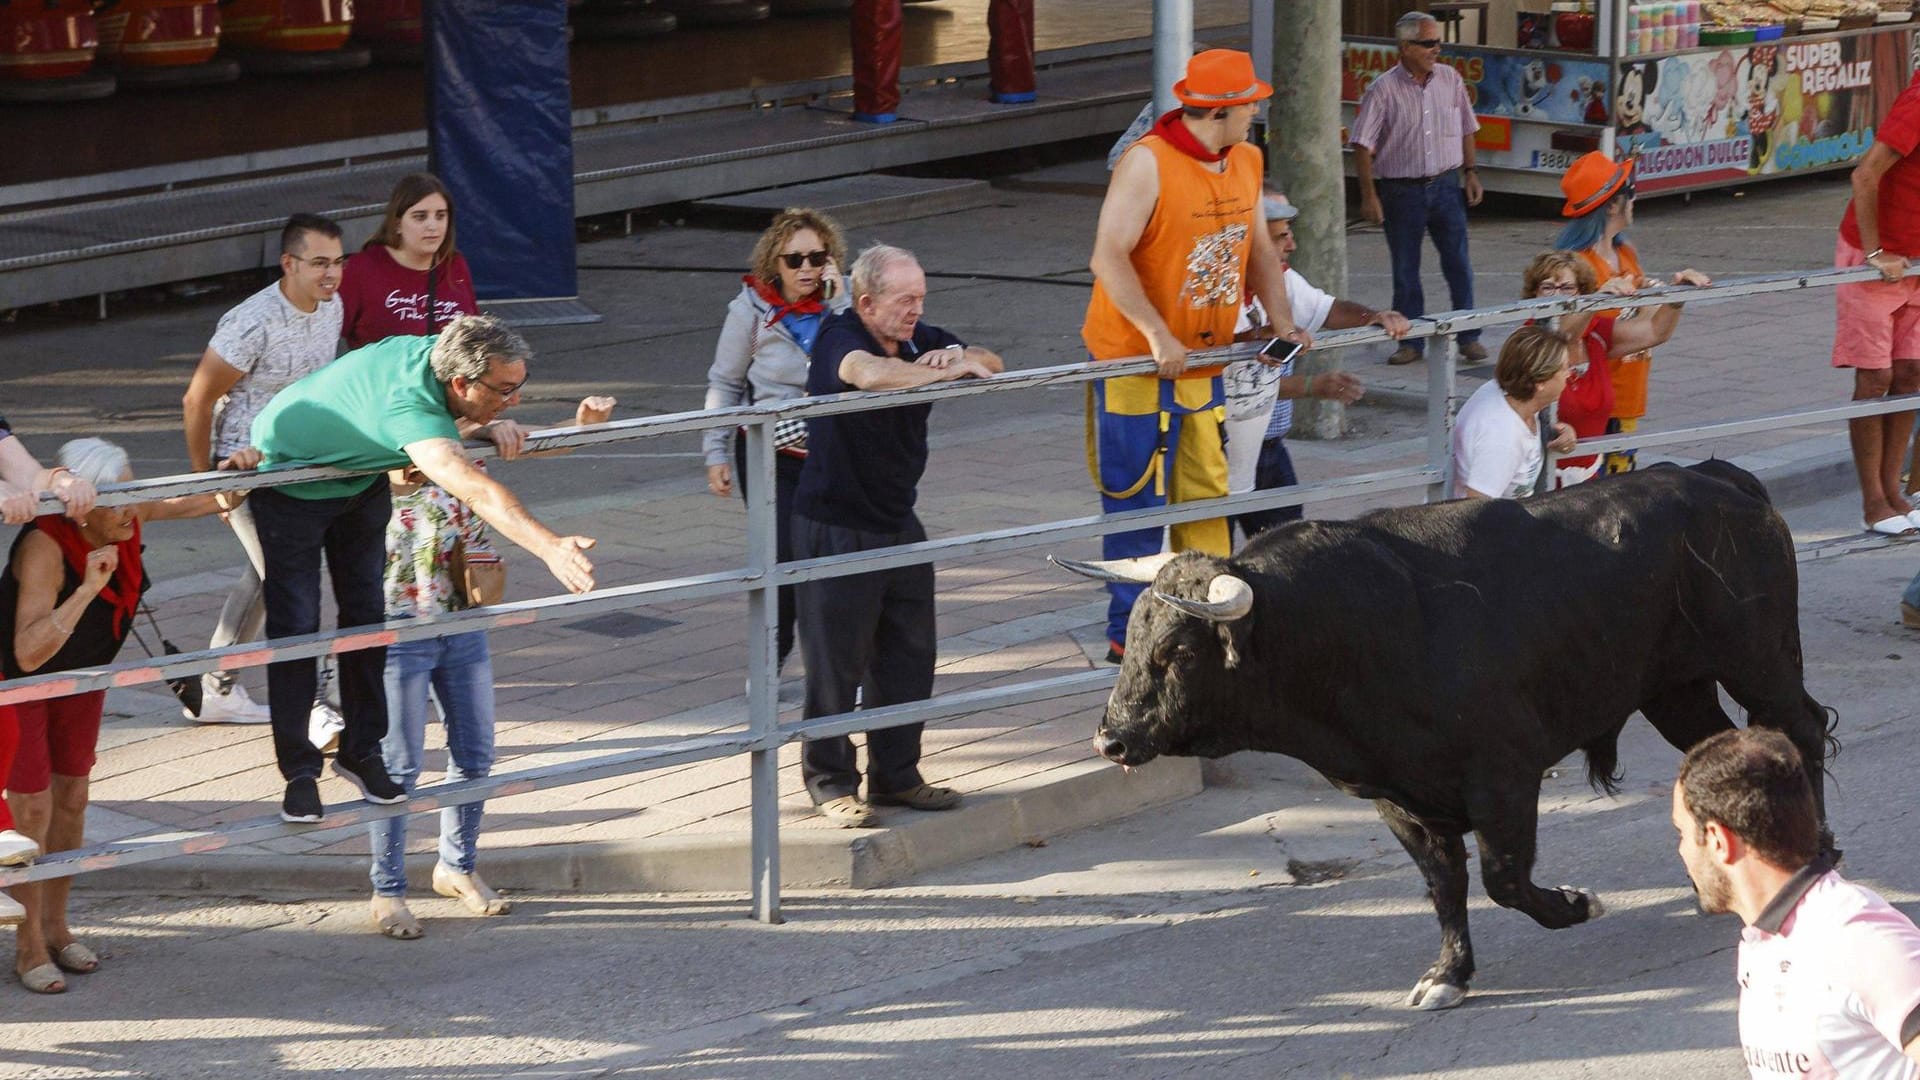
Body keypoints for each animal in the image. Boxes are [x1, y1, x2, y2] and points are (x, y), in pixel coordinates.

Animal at [1059, 461, 1835, 1006]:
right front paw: (1449, 974)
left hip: (1758, 660)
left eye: (1178, 652)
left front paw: (1574, 904)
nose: (1111, 740)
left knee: (1800, 730)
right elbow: (1445, 884)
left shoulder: (1503, 776)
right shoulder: (1400, 799)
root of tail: (1715, 477)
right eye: (1132, 639)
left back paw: (1815, 851)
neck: (1350, 628)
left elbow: (1503, 879)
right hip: (1676, 692)